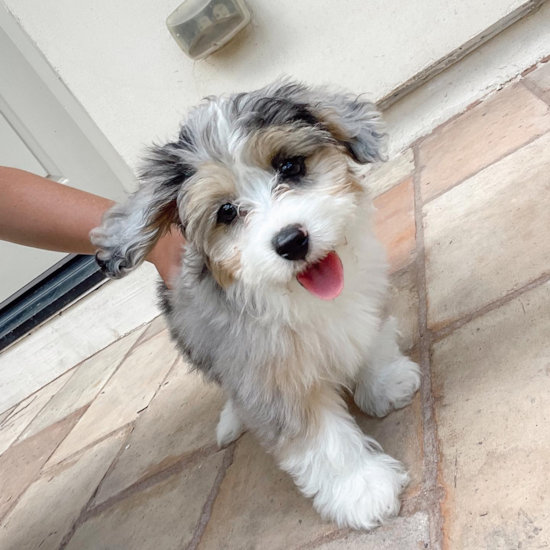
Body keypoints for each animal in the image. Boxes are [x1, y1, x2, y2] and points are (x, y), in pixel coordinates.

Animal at [92, 80, 422, 532]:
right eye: (227, 211)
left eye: (290, 166)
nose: (291, 241)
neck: (299, 296)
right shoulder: (267, 378)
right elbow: (322, 441)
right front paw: (362, 488)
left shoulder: (363, 302)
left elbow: (369, 340)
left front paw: (385, 383)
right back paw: (232, 420)